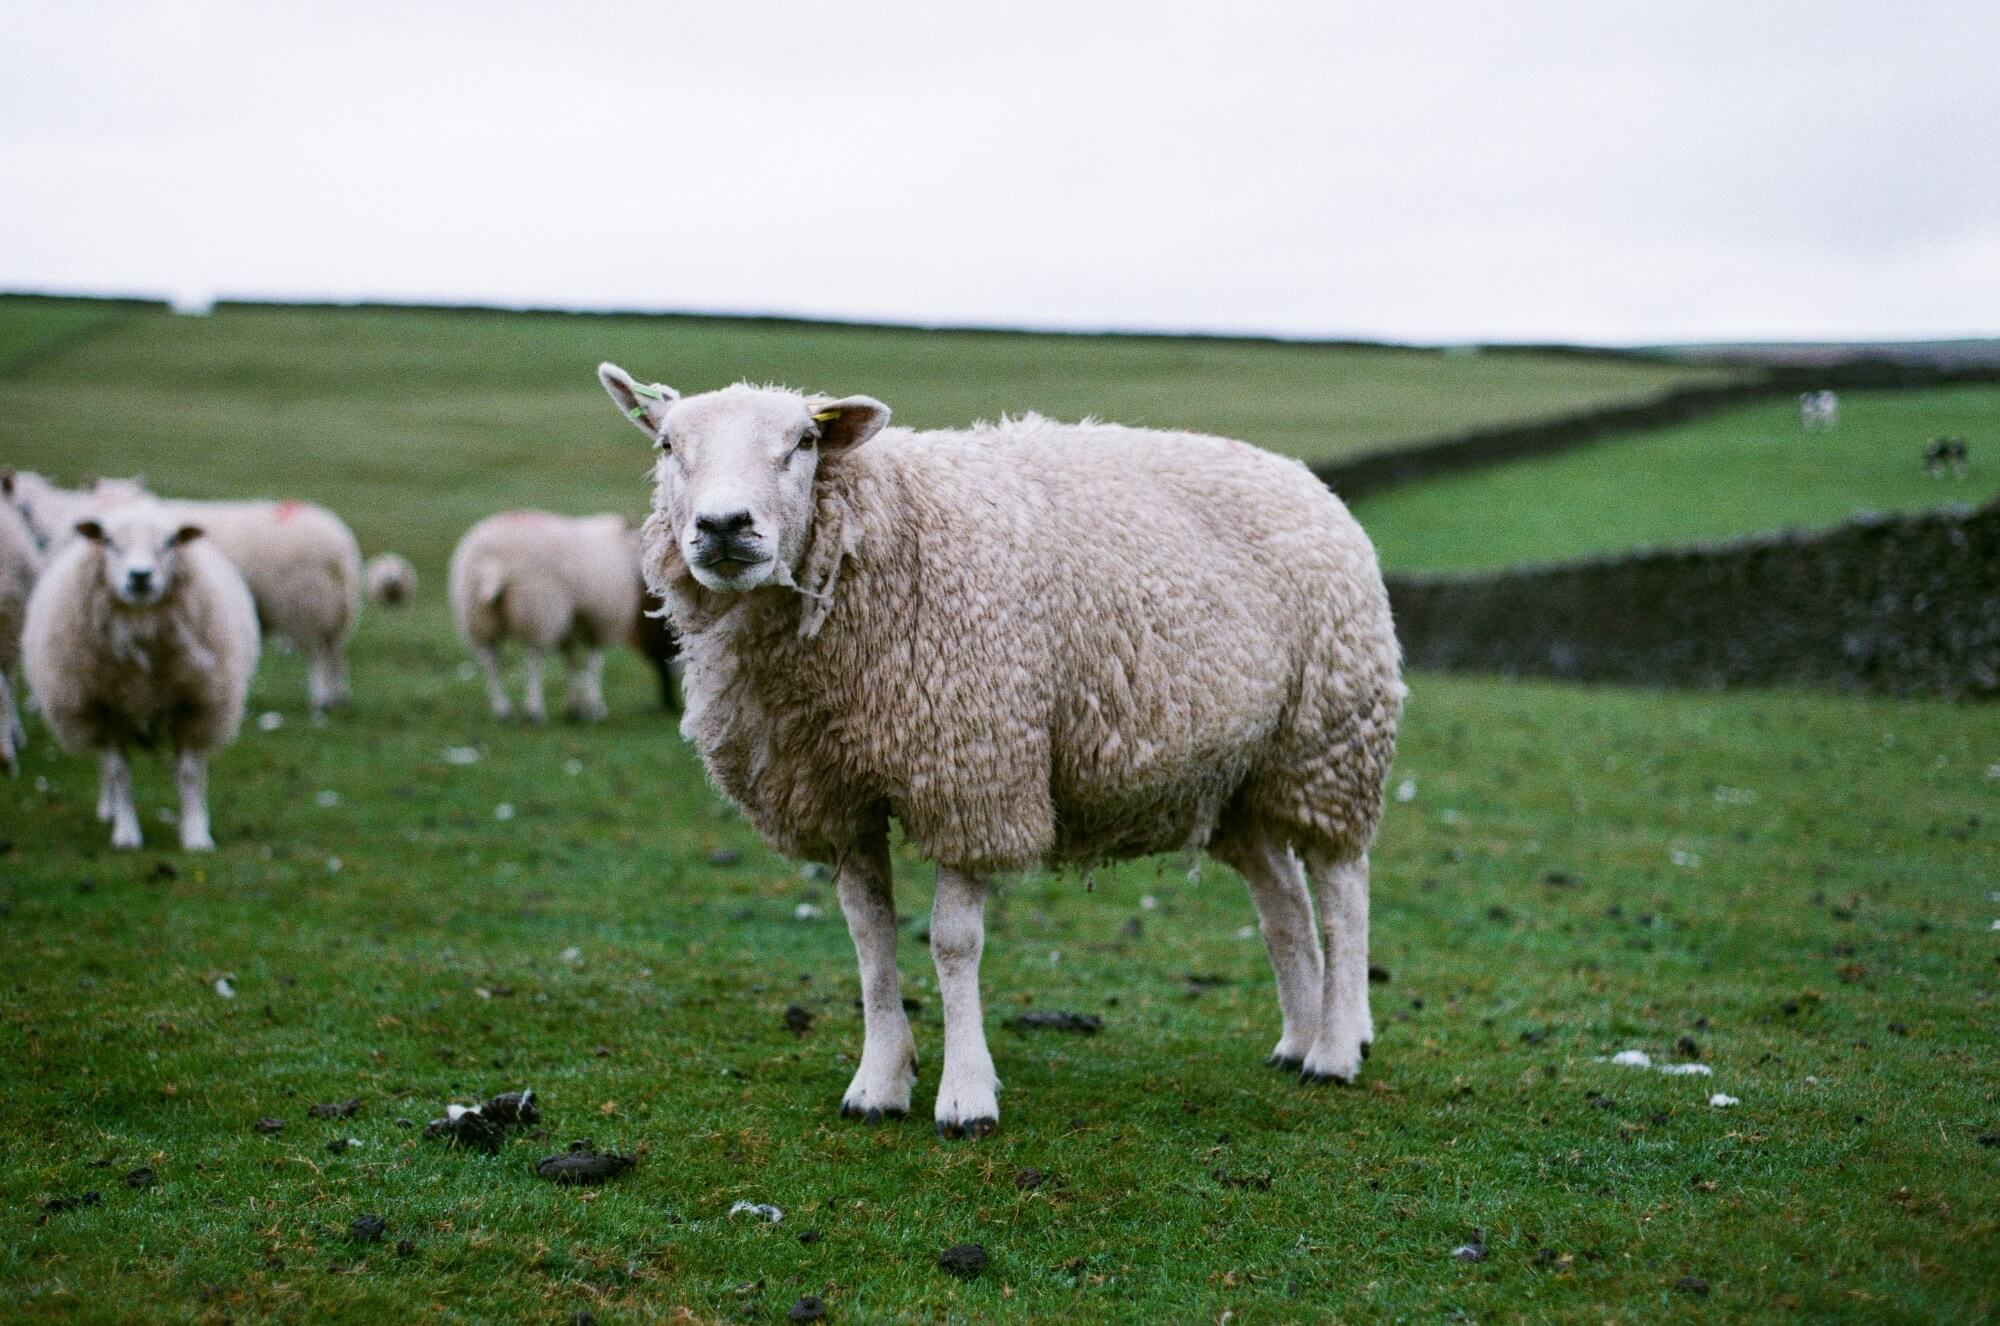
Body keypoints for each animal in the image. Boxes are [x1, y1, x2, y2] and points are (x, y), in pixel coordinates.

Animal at [8, 474, 364, 716]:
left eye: (23, 507)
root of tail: (342, 546)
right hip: (327, 607)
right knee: (334, 650)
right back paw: (338, 696)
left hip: (306, 604)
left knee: (319, 654)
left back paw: (322, 699)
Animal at [22, 498, 262, 852]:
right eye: (109, 541)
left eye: (170, 541)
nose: (140, 576)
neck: (140, 623)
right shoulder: (105, 706)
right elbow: (120, 772)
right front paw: (126, 835)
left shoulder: (192, 704)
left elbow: (190, 773)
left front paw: (196, 835)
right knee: (106, 765)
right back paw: (109, 810)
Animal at [452, 510, 640, 728]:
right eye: (642, 541)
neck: (619, 548)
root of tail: (492, 563)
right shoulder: (599, 620)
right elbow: (593, 664)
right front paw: (595, 708)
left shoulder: (572, 621)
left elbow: (570, 660)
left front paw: (574, 708)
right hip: (540, 610)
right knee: (533, 661)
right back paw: (534, 710)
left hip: (477, 616)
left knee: (490, 662)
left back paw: (503, 710)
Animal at [600, 366, 1400, 1144]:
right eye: (667, 446)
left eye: (803, 441)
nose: (723, 526)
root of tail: (1304, 478)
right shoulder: (836, 794)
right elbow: (868, 933)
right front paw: (878, 1083)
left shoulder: (972, 770)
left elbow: (955, 943)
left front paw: (965, 1098)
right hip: (1235, 776)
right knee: (1284, 900)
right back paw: (1297, 1039)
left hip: (1329, 739)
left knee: (1341, 891)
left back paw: (1335, 1051)